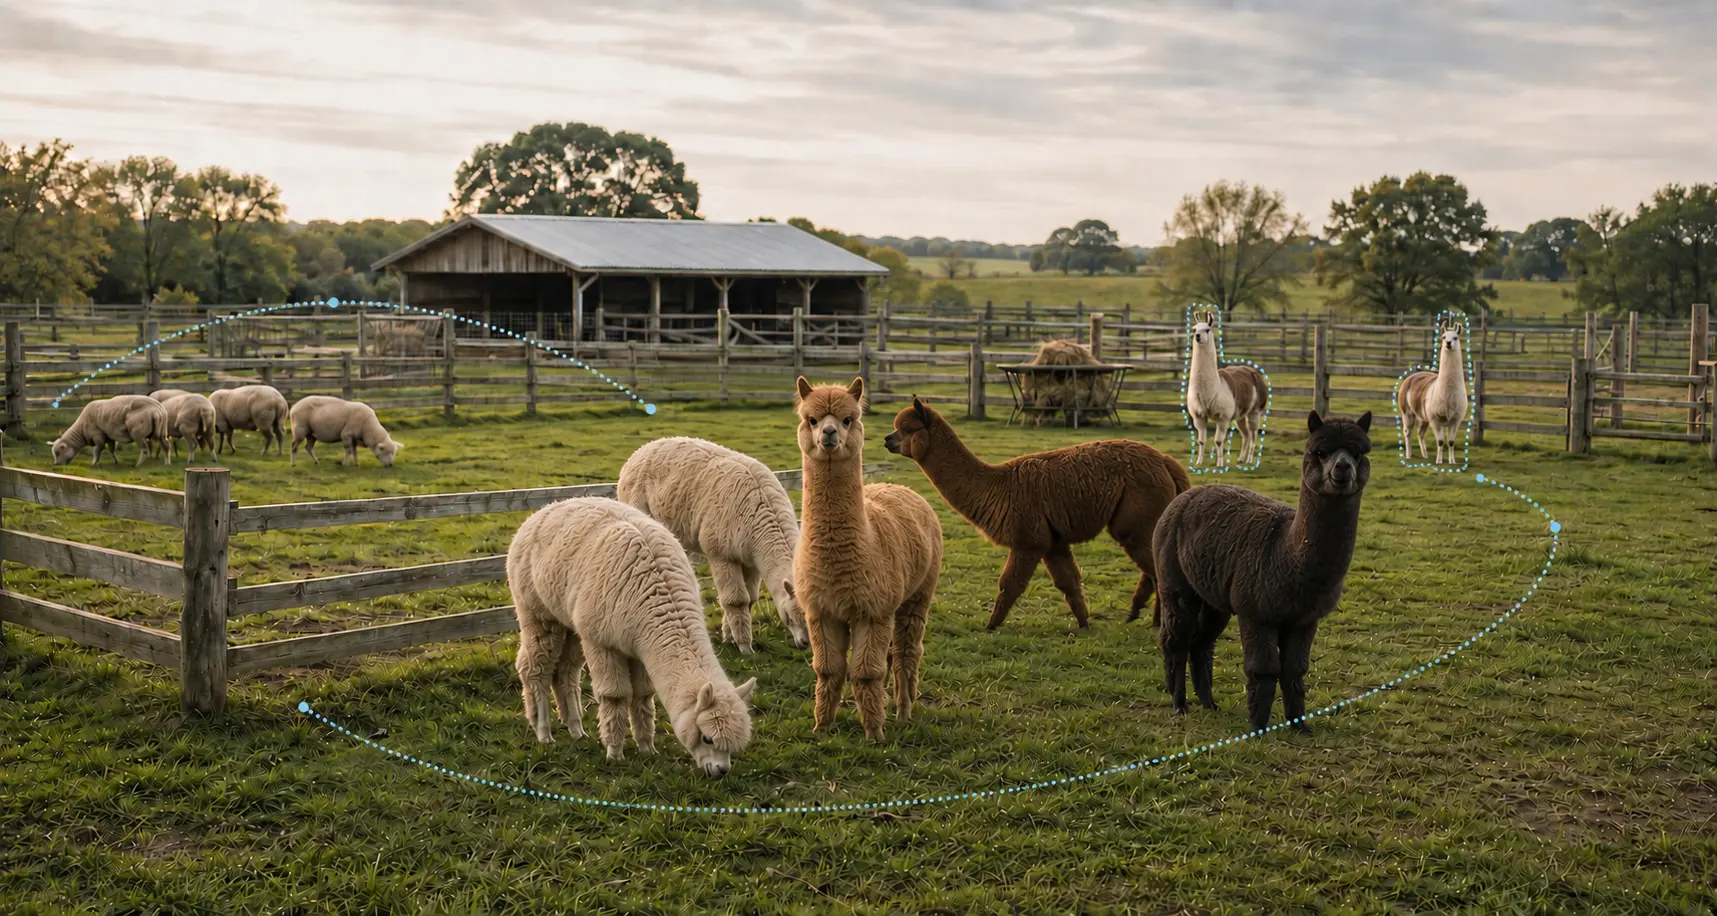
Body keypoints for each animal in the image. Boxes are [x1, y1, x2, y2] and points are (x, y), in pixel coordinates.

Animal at [508, 497, 758, 776]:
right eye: (707, 738)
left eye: (735, 745)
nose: (721, 771)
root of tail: (545, 509)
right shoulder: (602, 642)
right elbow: (615, 696)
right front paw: (615, 753)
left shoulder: (639, 647)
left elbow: (642, 695)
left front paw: (647, 748)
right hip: (537, 610)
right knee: (535, 668)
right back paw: (543, 733)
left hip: (570, 619)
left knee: (565, 672)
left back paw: (576, 729)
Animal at [617, 436, 809, 654]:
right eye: (790, 615)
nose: (805, 643)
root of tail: (637, 454)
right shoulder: (721, 553)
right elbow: (736, 600)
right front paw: (744, 647)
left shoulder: (750, 559)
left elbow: (750, 598)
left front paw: (730, 637)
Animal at [1155, 410, 1373, 733]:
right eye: (1320, 452)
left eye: (1358, 454)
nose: (1342, 467)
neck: (1286, 555)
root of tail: (1185, 495)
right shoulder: (1257, 613)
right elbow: (1264, 670)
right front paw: (1258, 728)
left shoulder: (1304, 619)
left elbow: (1295, 671)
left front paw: (1300, 727)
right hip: (1175, 582)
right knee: (1177, 641)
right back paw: (1179, 704)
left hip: (1215, 596)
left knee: (1202, 644)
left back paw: (1209, 704)